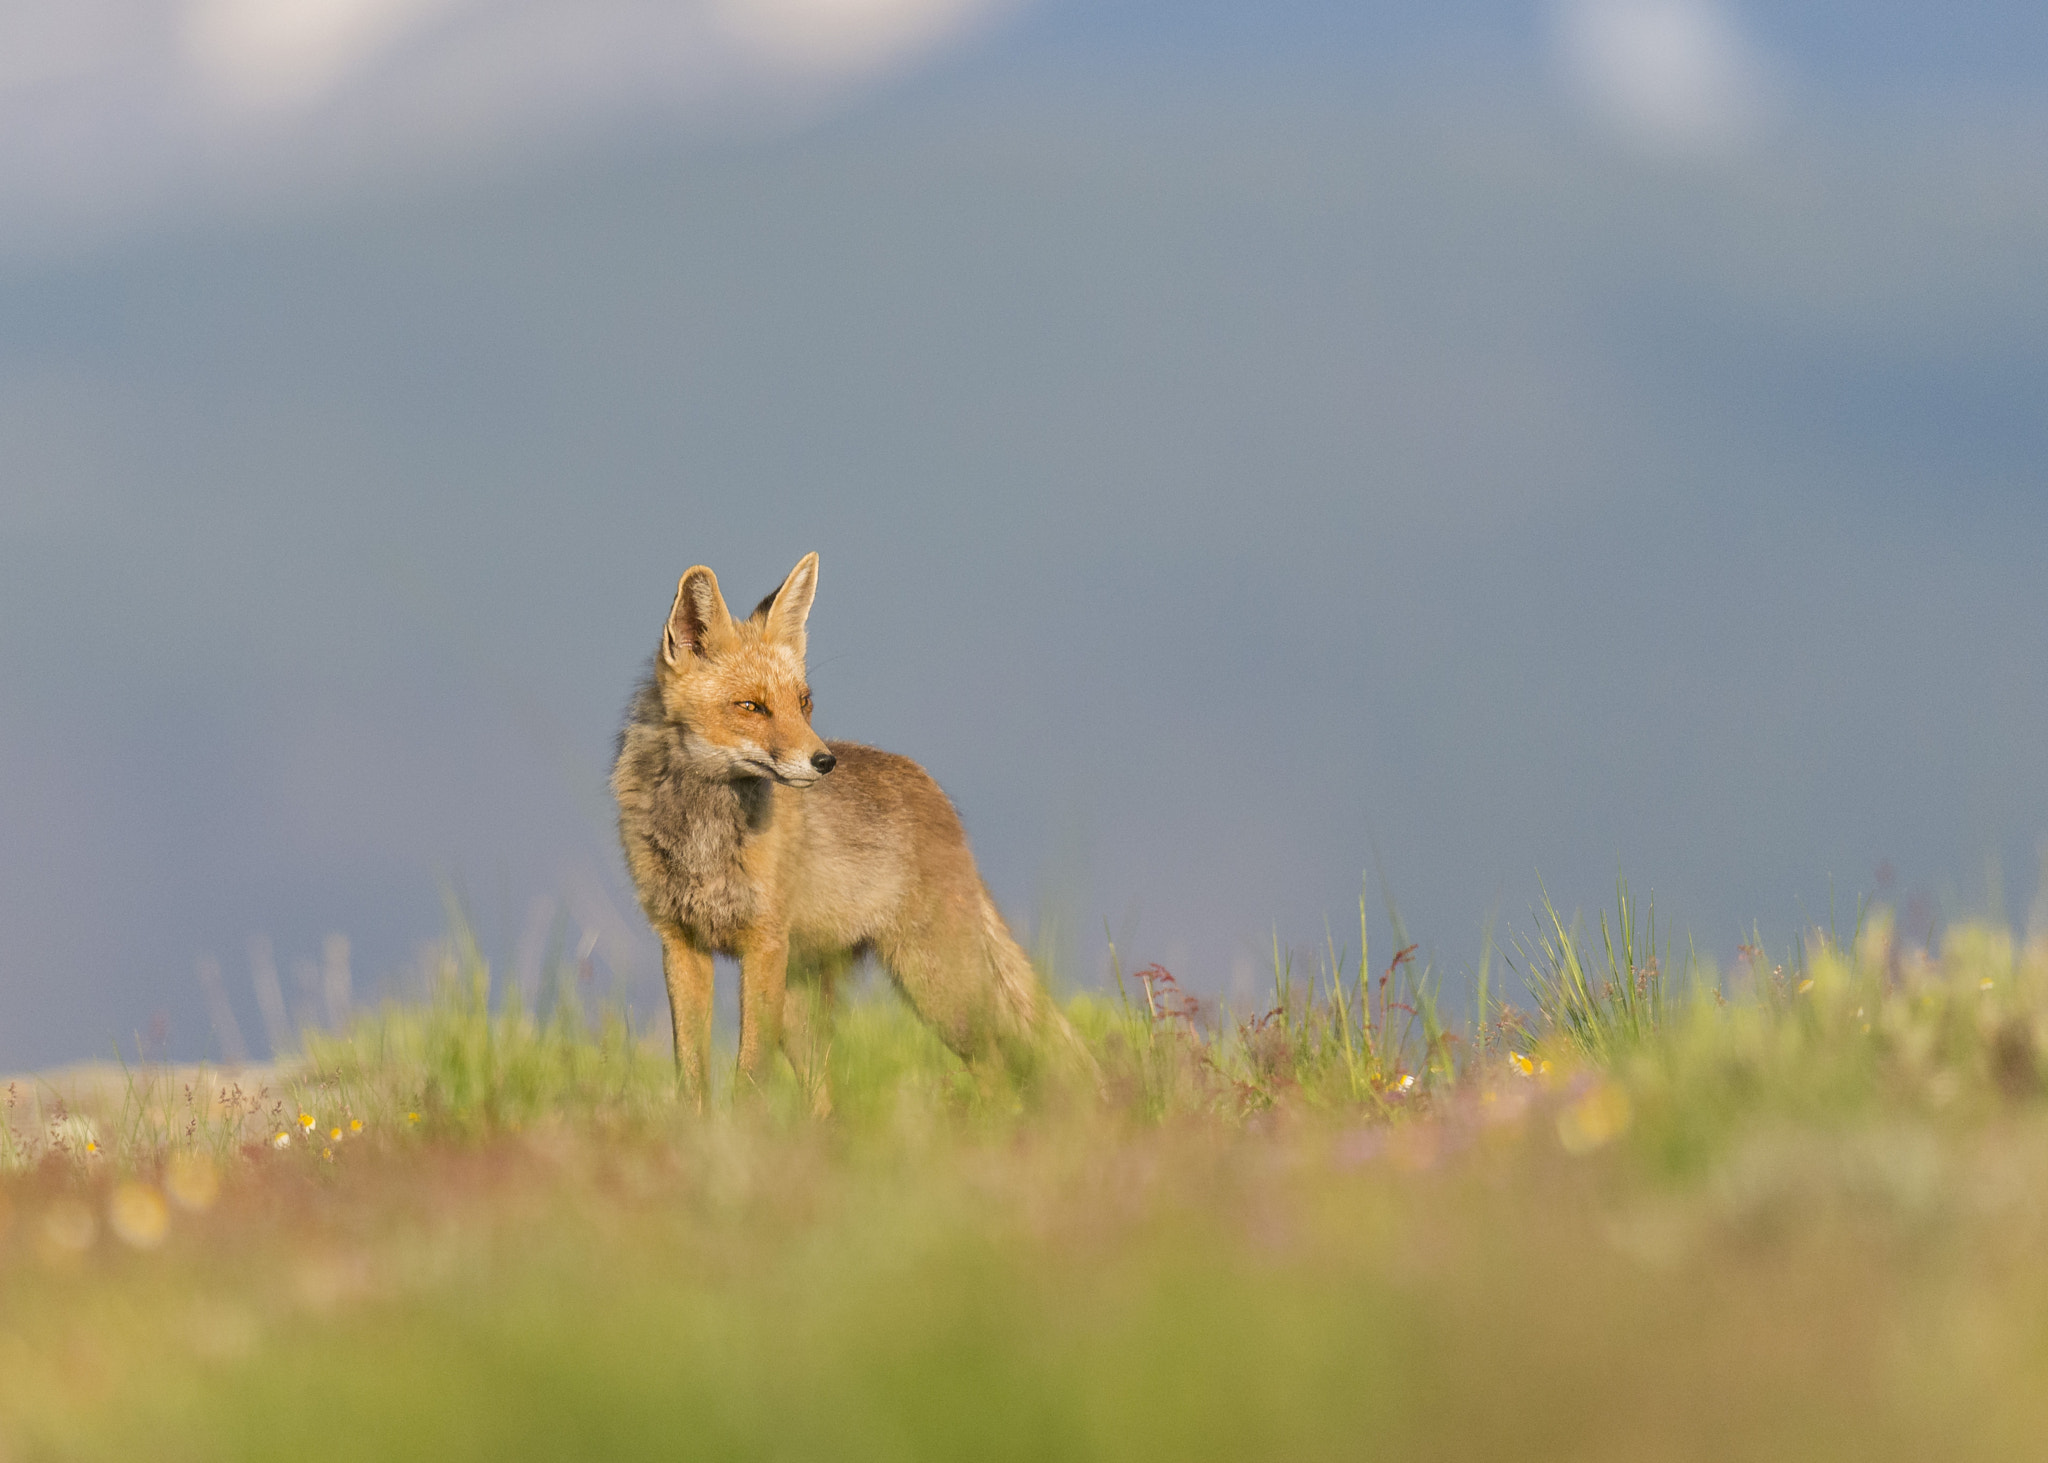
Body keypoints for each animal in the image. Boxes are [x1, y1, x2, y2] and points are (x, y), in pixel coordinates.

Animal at [610, 549, 1081, 1106]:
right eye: (751, 706)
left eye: (803, 702)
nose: (824, 762)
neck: (704, 836)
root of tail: (936, 793)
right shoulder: (681, 942)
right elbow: (692, 1076)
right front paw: (701, 1130)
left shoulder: (763, 943)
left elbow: (750, 1076)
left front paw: (740, 1130)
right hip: (806, 1011)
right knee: (827, 1100)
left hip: (935, 985)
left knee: (996, 1067)